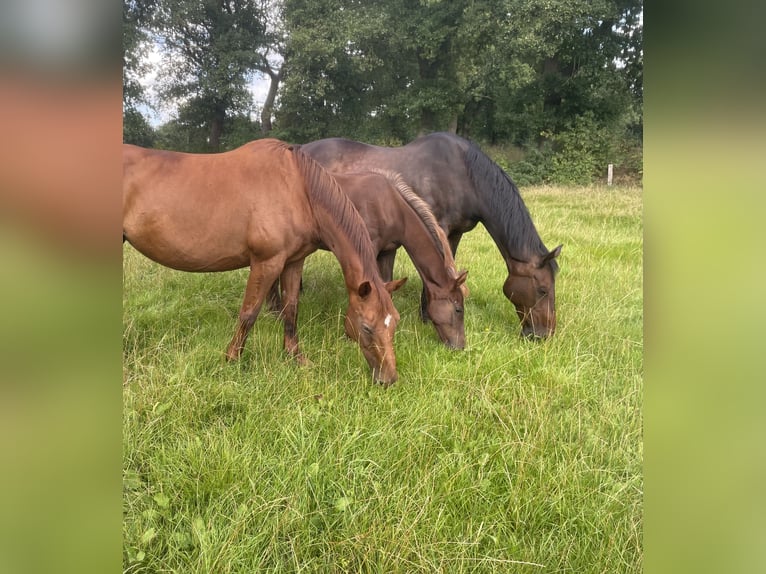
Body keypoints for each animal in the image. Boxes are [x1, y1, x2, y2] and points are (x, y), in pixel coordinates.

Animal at [123, 139, 407, 385]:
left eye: (395, 322)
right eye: (367, 328)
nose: (388, 379)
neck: (299, 189)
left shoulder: (294, 262)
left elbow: (291, 308)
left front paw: (296, 357)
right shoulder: (266, 262)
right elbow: (249, 313)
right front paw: (231, 359)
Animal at [270, 169, 469, 349]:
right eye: (458, 309)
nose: (459, 346)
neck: (391, 205)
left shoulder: (387, 251)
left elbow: (387, 286)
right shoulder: (369, 247)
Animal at [303, 133, 562, 338]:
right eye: (543, 289)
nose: (543, 335)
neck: (464, 175)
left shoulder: (455, 233)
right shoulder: (438, 227)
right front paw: (426, 317)